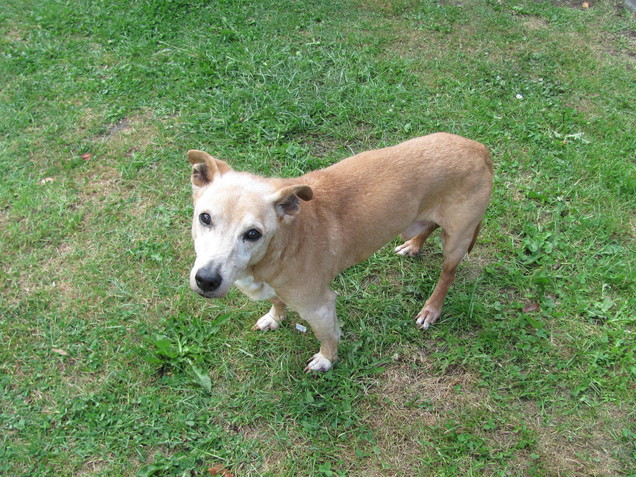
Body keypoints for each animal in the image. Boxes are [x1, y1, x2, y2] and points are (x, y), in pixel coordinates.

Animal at [186, 133, 494, 372]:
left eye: (253, 234)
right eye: (205, 218)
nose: (206, 280)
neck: (282, 246)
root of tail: (479, 147)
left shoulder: (320, 307)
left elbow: (328, 337)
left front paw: (326, 360)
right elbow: (276, 302)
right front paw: (274, 318)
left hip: (456, 240)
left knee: (447, 275)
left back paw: (431, 309)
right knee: (428, 225)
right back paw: (414, 245)